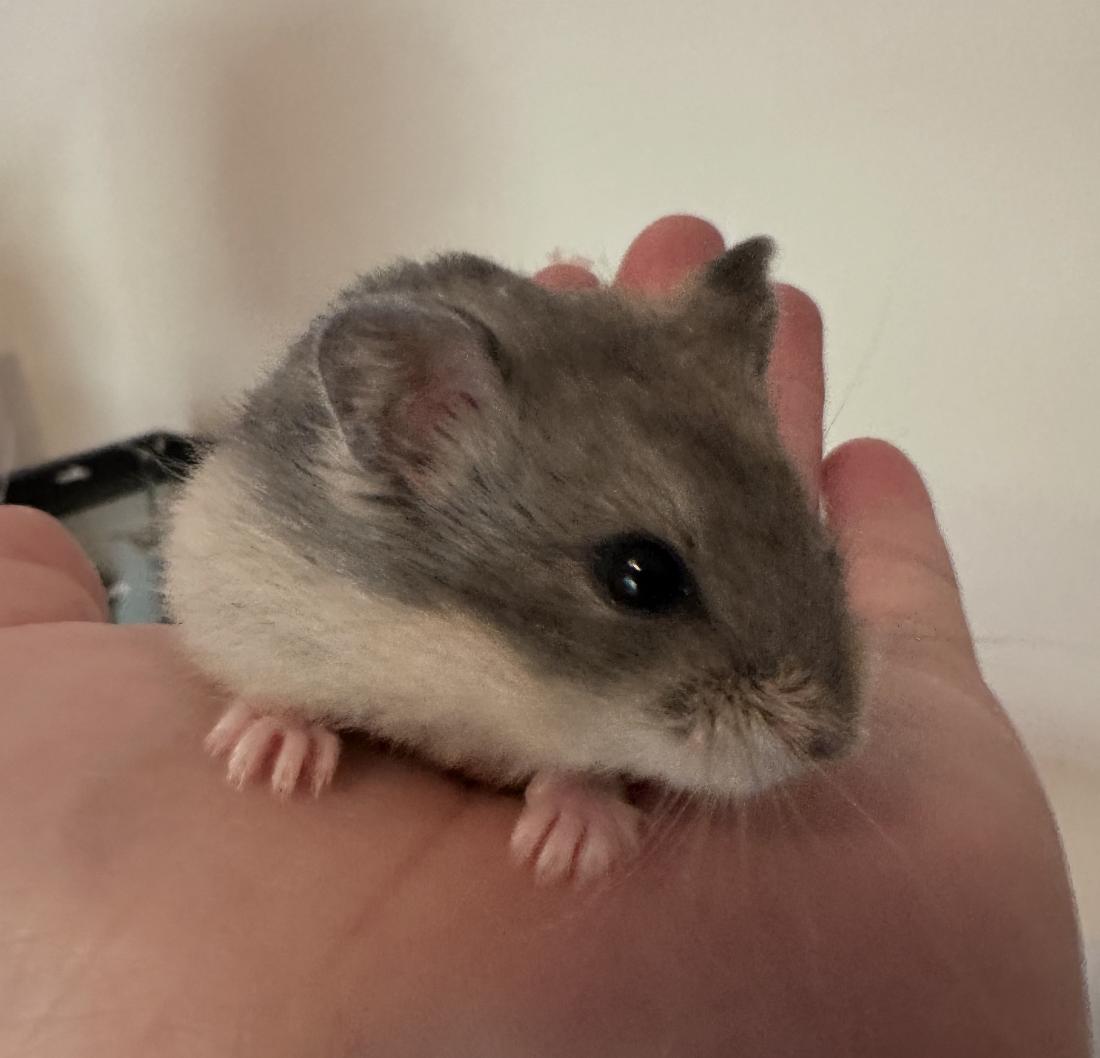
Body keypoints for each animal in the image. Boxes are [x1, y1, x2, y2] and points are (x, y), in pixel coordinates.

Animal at [161, 237, 863, 886]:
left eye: (824, 547)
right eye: (640, 576)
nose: (831, 745)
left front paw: (576, 851)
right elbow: (273, 689)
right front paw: (266, 761)